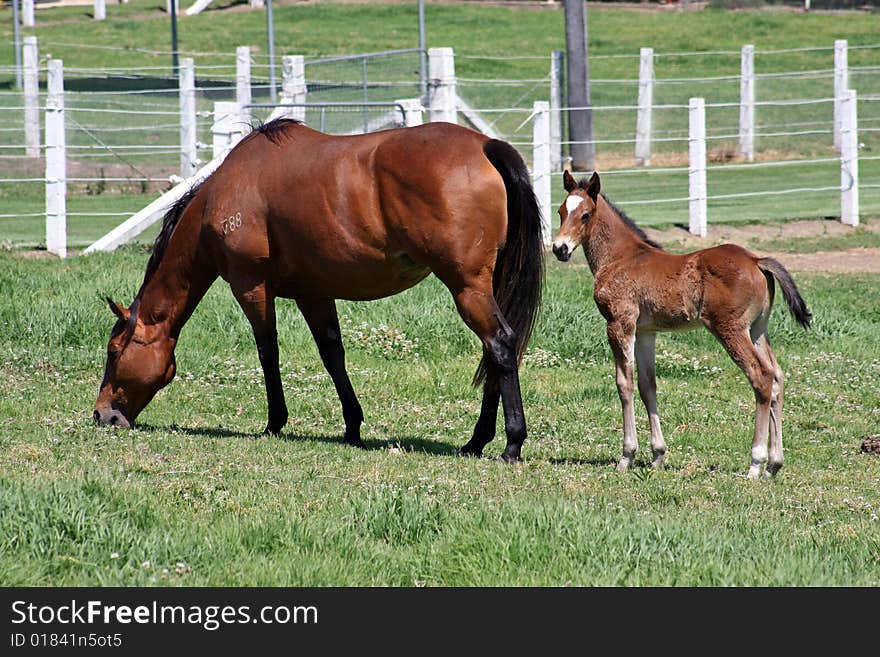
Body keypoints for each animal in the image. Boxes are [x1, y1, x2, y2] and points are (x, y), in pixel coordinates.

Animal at [552, 169, 812, 476]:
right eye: (560, 212)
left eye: (585, 215)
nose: (559, 248)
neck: (620, 257)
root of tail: (756, 260)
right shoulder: (646, 332)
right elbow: (647, 385)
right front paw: (658, 455)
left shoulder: (619, 323)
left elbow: (624, 384)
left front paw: (627, 456)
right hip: (758, 330)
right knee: (777, 377)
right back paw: (774, 463)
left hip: (730, 329)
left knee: (761, 376)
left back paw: (755, 463)